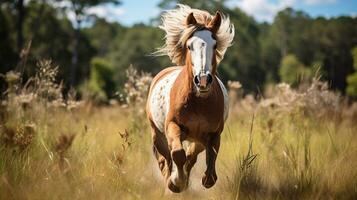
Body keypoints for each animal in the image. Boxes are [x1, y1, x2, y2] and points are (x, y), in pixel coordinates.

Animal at [145, 3, 234, 193]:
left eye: (215, 45)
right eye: (189, 46)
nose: (203, 79)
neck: (198, 102)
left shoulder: (213, 134)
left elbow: (208, 158)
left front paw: (204, 179)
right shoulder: (172, 126)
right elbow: (177, 154)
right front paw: (175, 182)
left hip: (197, 139)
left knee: (190, 156)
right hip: (157, 134)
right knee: (166, 159)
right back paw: (171, 182)